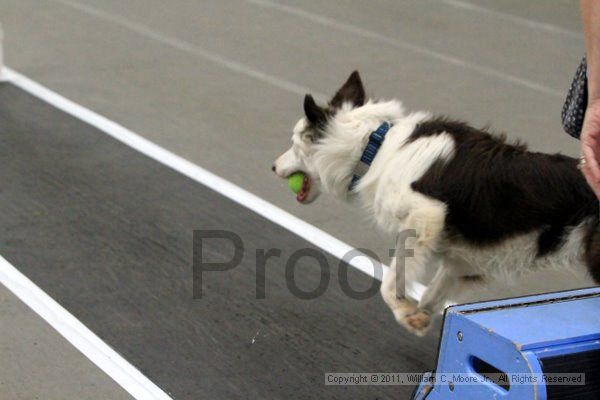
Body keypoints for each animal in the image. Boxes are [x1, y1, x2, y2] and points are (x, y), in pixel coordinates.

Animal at [274, 71, 600, 334]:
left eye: (294, 143)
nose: (273, 167)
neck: (376, 147)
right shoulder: (466, 261)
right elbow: (432, 294)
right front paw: (420, 318)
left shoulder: (425, 215)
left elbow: (390, 282)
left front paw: (405, 313)